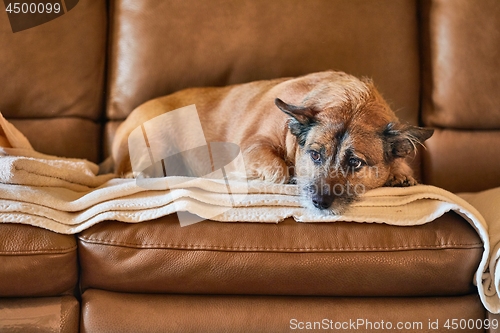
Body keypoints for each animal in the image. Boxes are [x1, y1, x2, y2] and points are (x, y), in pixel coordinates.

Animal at [110, 71, 434, 214]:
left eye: (354, 162)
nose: (319, 203)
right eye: (315, 155)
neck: (351, 99)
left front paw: (400, 173)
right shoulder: (253, 147)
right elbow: (278, 169)